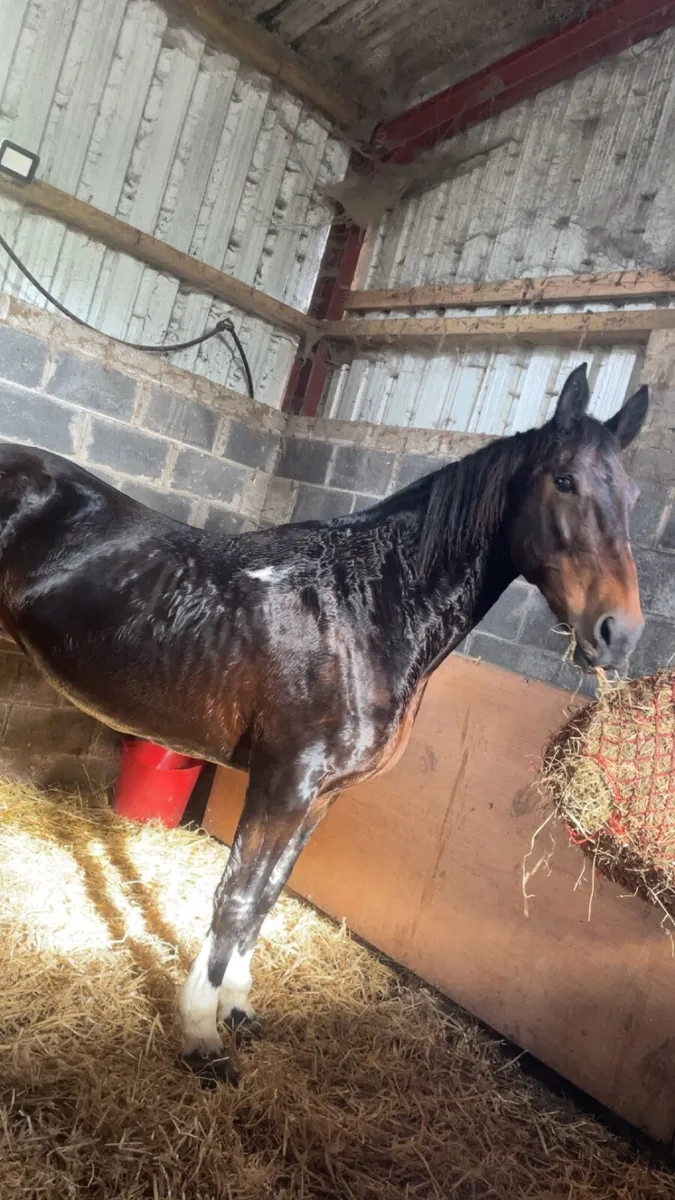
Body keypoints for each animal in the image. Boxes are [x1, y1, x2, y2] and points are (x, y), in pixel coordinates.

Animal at [0, 363, 647, 1082]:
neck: (363, 608)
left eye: (633, 494)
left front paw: (237, 1009)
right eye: (563, 479)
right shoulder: (285, 783)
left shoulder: (321, 797)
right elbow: (235, 900)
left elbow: (266, 895)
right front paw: (201, 1036)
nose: (618, 634)